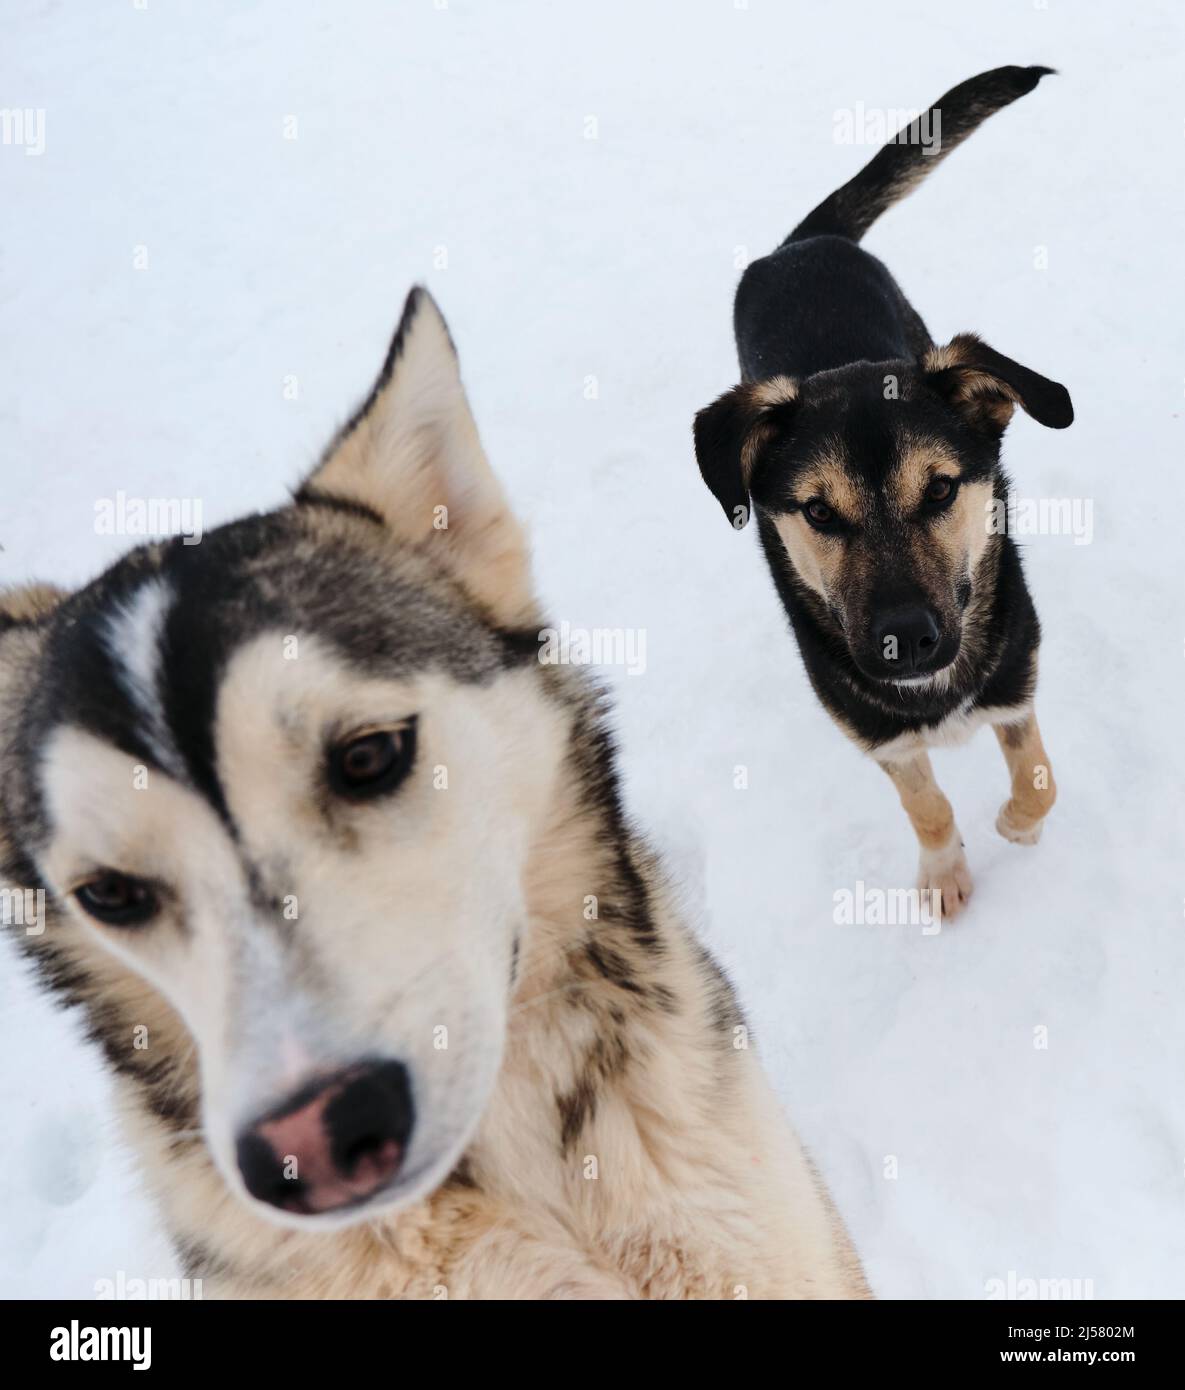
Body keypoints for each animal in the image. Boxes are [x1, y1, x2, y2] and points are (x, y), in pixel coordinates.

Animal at [694, 70, 1072, 922]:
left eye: (939, 490)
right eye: (817, 512)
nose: (904, 641)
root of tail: (799, 245)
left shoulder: (1017, 675)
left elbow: (1037, 778)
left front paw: (1018, 825)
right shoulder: (874, 733)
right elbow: (924, 803)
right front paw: (943, 872)